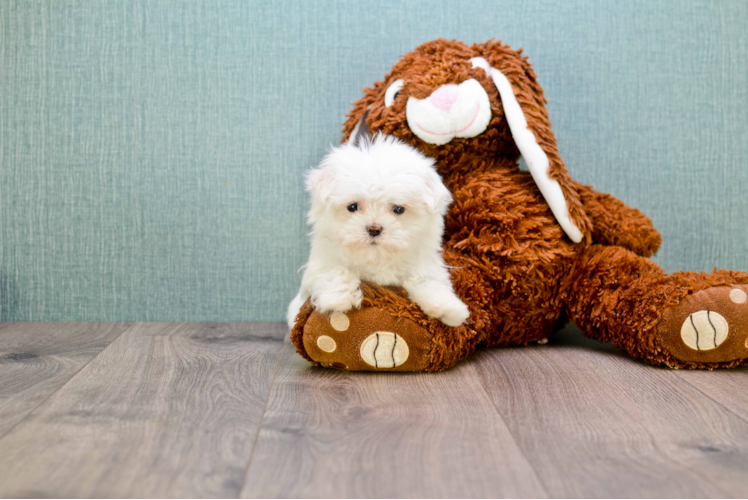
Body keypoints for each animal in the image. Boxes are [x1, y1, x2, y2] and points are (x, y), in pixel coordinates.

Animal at [286, 133, 468, 328]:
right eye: (352, 206)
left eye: (398, 209)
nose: (374, 228)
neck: (376, 257)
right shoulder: (323, 261)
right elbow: (335, 270)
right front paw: (340, 297)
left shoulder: (423, 265)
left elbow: (427, 281)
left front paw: (447, 307)